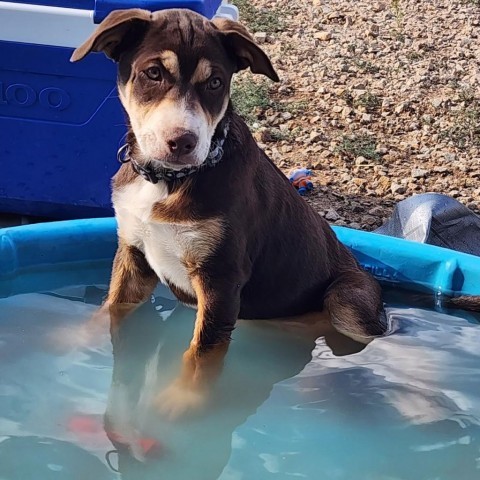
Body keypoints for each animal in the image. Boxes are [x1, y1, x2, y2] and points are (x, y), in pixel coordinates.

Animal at [72, 9, 390, 418]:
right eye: (153, 73)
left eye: (215, 83)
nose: (183, 142)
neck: (169, 180)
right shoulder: (133, 253)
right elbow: (113, 308)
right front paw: (75, 339)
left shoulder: (220, 276)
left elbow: (202, 352)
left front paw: (184, 401)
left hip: (348, 299)